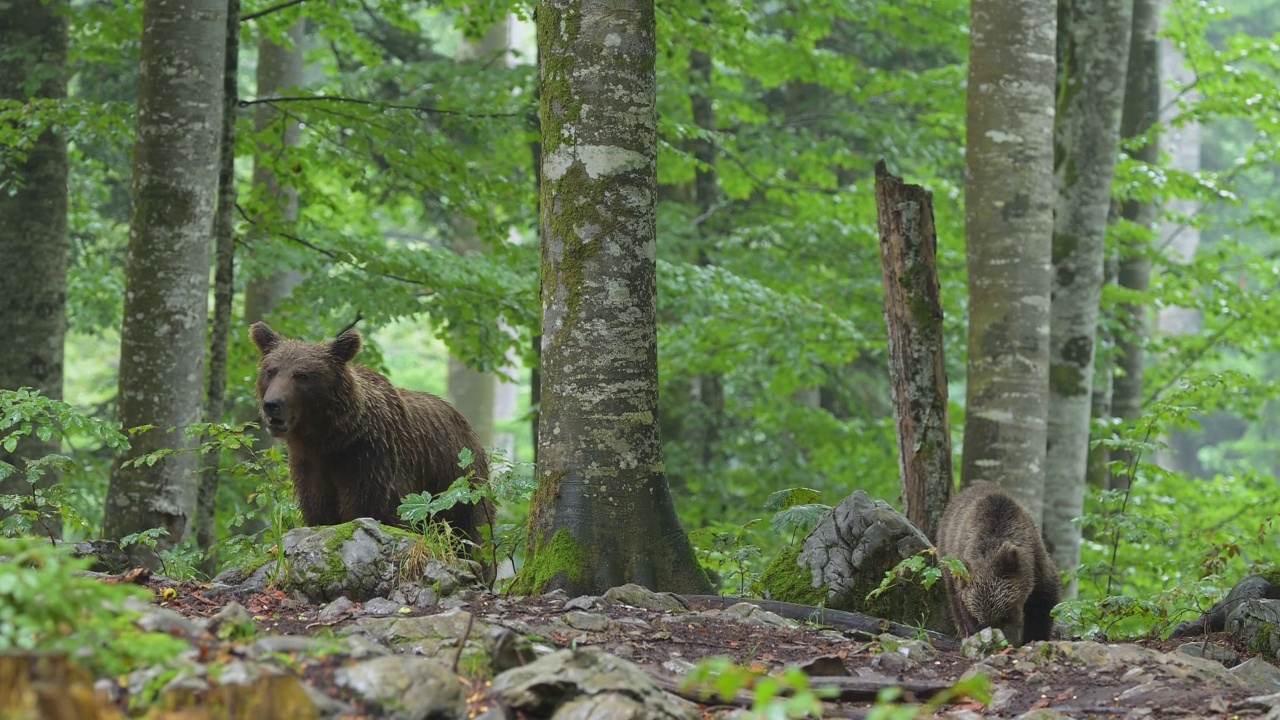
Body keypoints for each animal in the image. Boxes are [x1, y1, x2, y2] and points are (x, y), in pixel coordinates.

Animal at [247, 319, 491, 543]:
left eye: (302, 375)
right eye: (271, 371)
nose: (272, 404)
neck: (331, 439)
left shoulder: (373, 461)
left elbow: (376, 511)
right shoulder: (310, 467)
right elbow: (318, 511)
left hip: (461, 484)